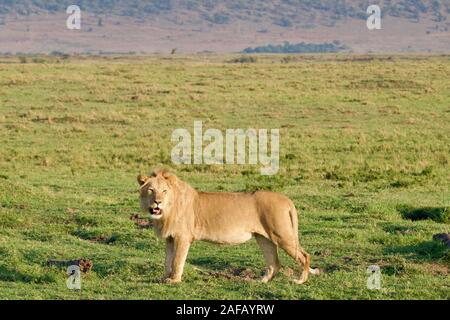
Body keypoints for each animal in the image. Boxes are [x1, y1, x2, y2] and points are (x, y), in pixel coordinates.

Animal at [137, 169, 320, 284]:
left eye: (164, 191)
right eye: (151, 190)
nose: (157, 202)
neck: (167, 212)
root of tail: (286, 199)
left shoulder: (183, 237)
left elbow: (177, 260)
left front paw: (174, 280)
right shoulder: (169, 238)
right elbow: (167, 260)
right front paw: (164, 278)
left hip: (282, 234)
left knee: (305, 256)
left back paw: (300, 281)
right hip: (264, 238)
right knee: (274, 263)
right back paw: (261, 281)